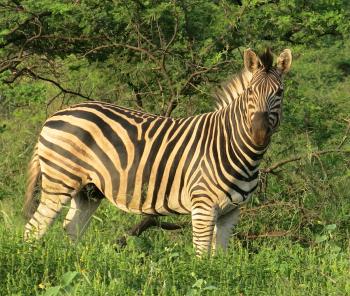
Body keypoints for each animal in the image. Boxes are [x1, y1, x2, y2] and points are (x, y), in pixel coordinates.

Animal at [23, 47, 292, 256]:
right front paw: (202, 283)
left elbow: (220, 258)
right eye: (250, 92)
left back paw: (78, 268)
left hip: (88, 191)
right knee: (33, 229)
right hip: (60, 179)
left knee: (71, 229)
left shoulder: (231, 212)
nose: (259, 134)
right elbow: (202, 258)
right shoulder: (203, 207)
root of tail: (55, 115)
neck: (231, 146)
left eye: (279, 92)